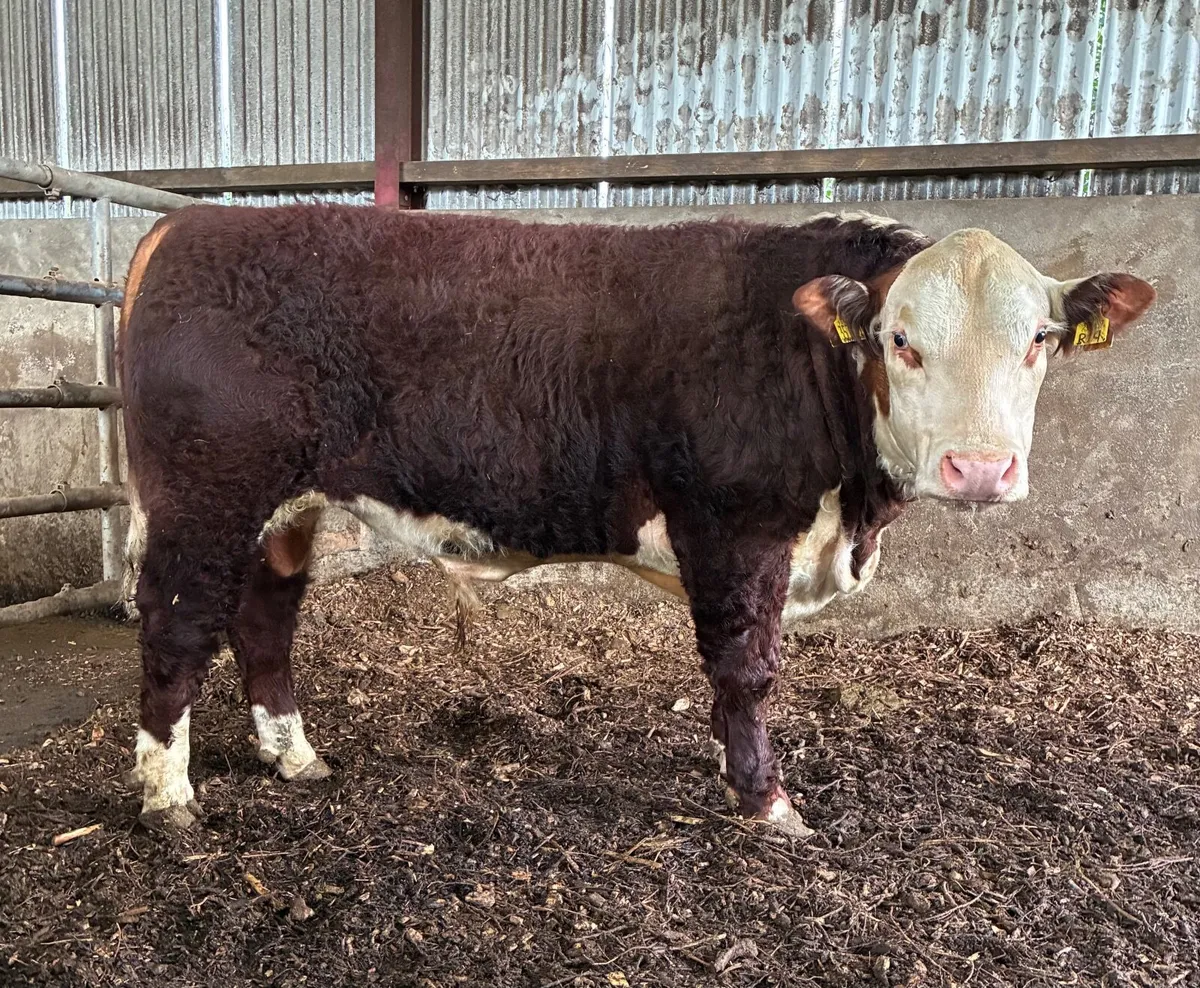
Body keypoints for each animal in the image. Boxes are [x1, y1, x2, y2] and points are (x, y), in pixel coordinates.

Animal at [117, 205, 1154, 834]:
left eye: (1040, 339)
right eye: (900, 340)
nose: (979, 468)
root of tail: (190, 219)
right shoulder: (735, 528)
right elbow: (746, 669)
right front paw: (766, 799)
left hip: (280, 508)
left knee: (264, 622)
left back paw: (294, 758)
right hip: (204, 496)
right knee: (176, 628)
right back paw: (169, 796)